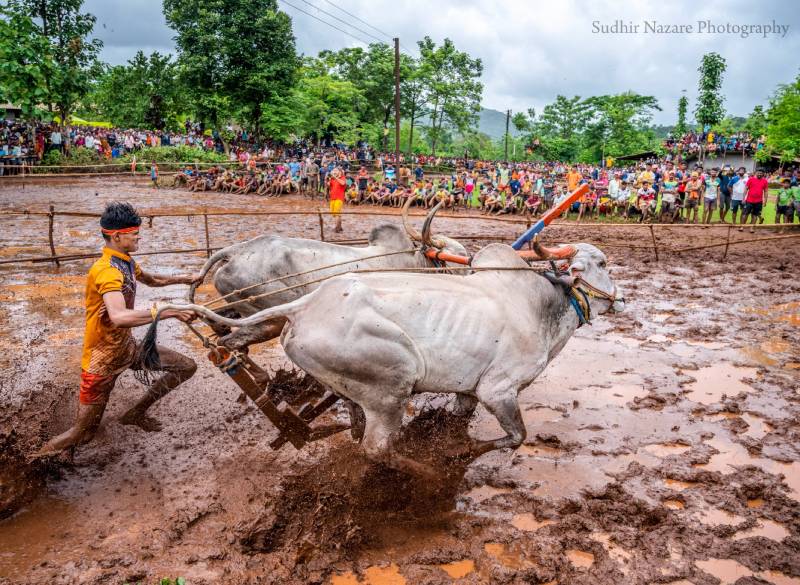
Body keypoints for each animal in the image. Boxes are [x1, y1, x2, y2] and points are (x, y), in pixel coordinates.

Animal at [172, 242, 628, 474]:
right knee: (377, 449)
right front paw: (451, 457)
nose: (622, 299)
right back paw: (424, 472)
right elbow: (516, 437)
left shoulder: (468, 392)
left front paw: (451, 444)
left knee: (356, 426)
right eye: (603, 263)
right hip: (391, 388)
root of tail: (304, 306)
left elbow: (462, 422)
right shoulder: (499, 390)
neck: (540, 306)